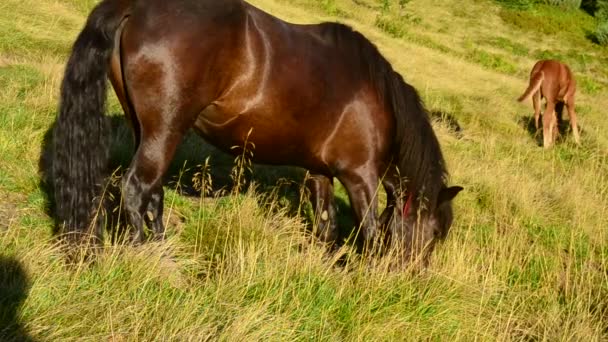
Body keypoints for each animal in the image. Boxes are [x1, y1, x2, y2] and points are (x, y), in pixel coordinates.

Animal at [53, 0, 460, 262]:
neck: (375, 96)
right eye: (434, 235)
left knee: (152, 192)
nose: (409, 280)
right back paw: (147, 255)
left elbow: (325, 225)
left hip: (146, 129)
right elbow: (371, 232)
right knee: (137, 189)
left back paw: (162, 245)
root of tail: (135, 7)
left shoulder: (319, 172)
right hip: (165, 130)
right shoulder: (360, 177)